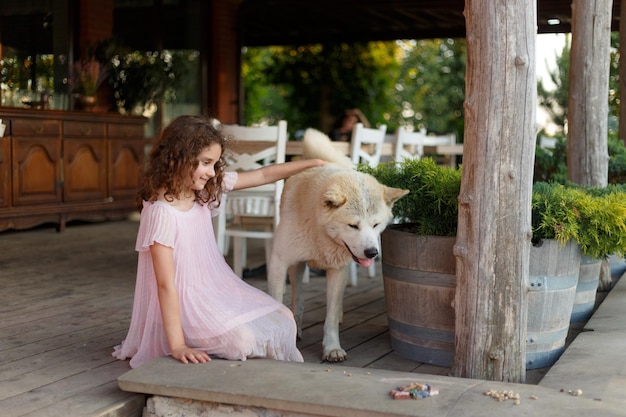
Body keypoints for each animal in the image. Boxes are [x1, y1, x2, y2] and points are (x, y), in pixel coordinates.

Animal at [266, 129, 408, 360]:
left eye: (376, 224)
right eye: (353, 225)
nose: (372, 253)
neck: (320, 231)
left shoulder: (338, 270)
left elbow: (330, 317)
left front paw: (332, 348)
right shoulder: (279, 263)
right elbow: (279, 303)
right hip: (296, 267)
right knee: (298, 297)